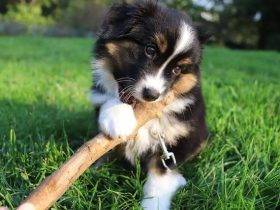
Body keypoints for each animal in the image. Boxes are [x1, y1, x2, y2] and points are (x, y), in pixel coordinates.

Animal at [91, 1, 208, 210]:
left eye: (177, 69)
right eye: (150, 50)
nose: (152, 95)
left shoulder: (178, 141)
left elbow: (160, 173)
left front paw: (155, 203)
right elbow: (109, 99)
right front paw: (118, 118)